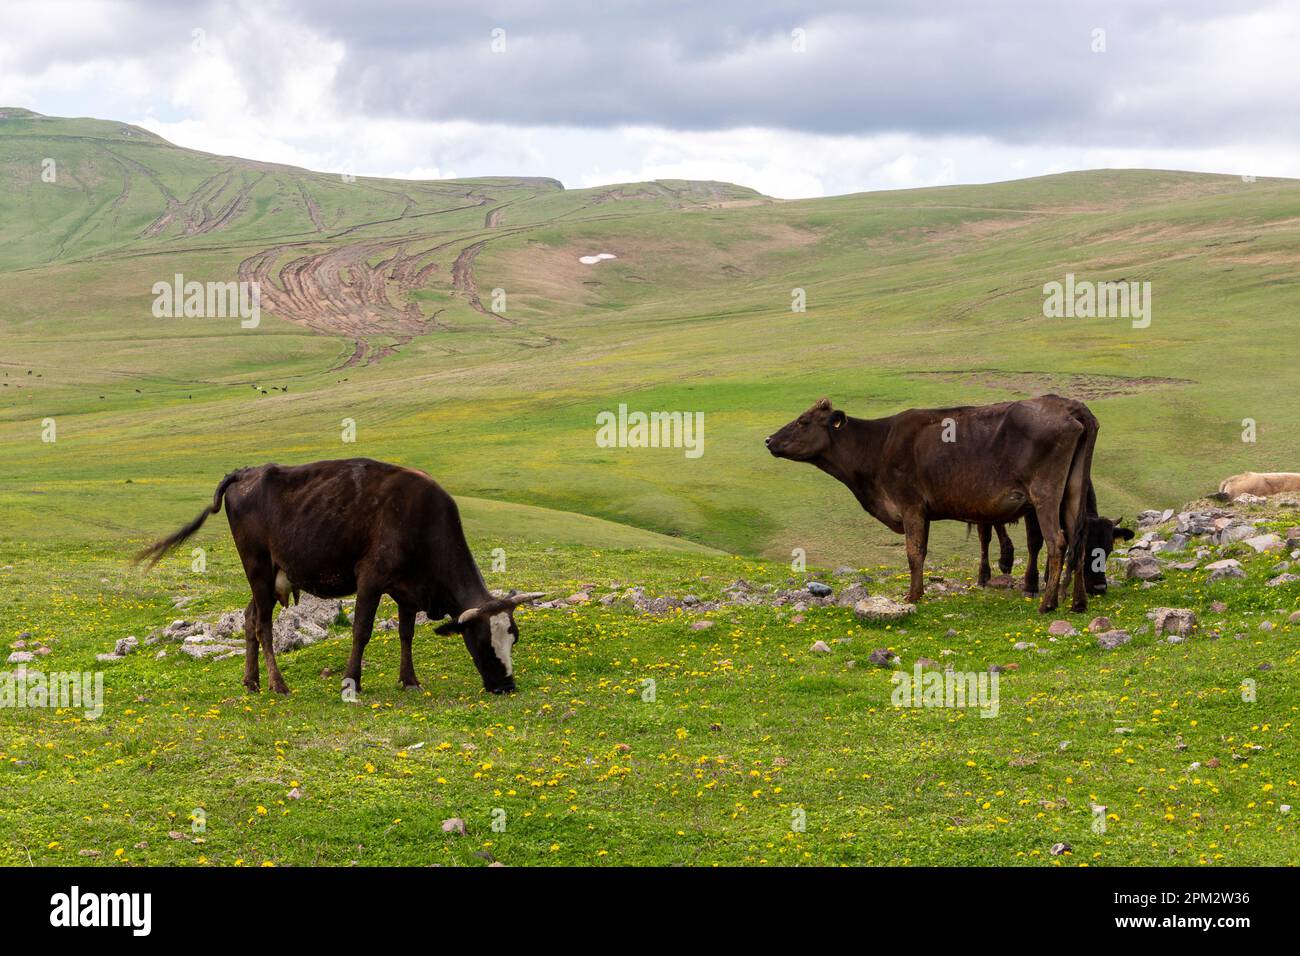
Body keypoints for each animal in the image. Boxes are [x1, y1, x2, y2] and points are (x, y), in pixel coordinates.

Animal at [136, 458, 543, 696]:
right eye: (483, 641)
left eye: (514, 637)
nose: (506, 685)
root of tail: (243, 473)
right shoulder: (371, 579)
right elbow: (361, 631)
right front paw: (352, 681)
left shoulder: (408, 590)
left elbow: (406, 633)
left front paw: (409, 680)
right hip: (258, 567)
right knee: (264, 625)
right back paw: (277, 684)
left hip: (267, 576)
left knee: (250, 617)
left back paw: (251, 682)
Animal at [766, 395, 1098, 613]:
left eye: (803, 421)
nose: (769, 440)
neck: (877, 446)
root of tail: (1069, 407)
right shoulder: (922, 511)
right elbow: (921, 552)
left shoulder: (910, 505)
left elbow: (914, 553)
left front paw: (913, 596)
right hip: (1072, 491)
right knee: (1079, 540)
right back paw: (1078, 602)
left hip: (1045, 493)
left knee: (1057, 541)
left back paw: (1048, 603)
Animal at [976, 483, 1133, 595]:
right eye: (1084, 551)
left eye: (1109, 549)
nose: (1099, 587)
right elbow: (1035, 542)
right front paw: (1030, 586)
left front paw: (1049, 579)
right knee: (985, 535)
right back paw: (984, 575)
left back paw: (1006, 559)